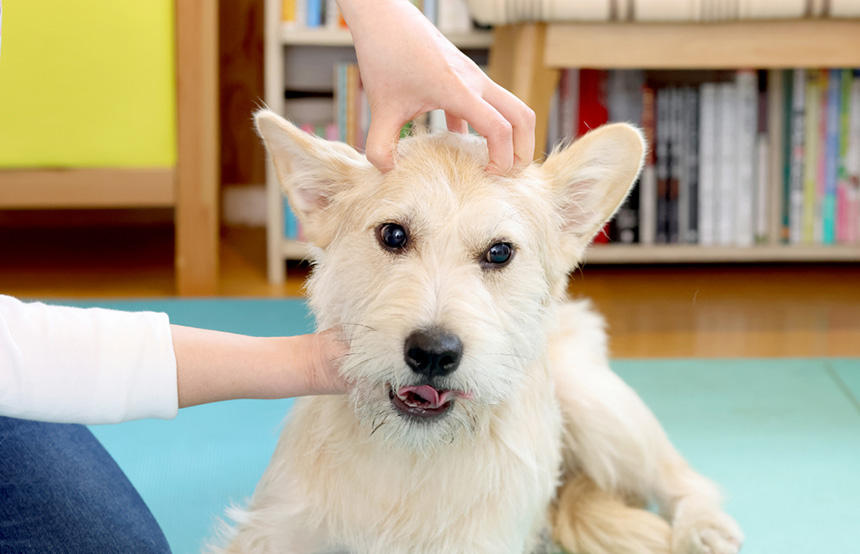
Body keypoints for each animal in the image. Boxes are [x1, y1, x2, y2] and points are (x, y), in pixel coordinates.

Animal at [217, 109, 744, 552]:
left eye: (499, 252)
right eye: (393, 235)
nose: (433, 352)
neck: (413, 455)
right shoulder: (271, 530)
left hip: (595, 402)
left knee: (681, 476)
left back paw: (702, 528)